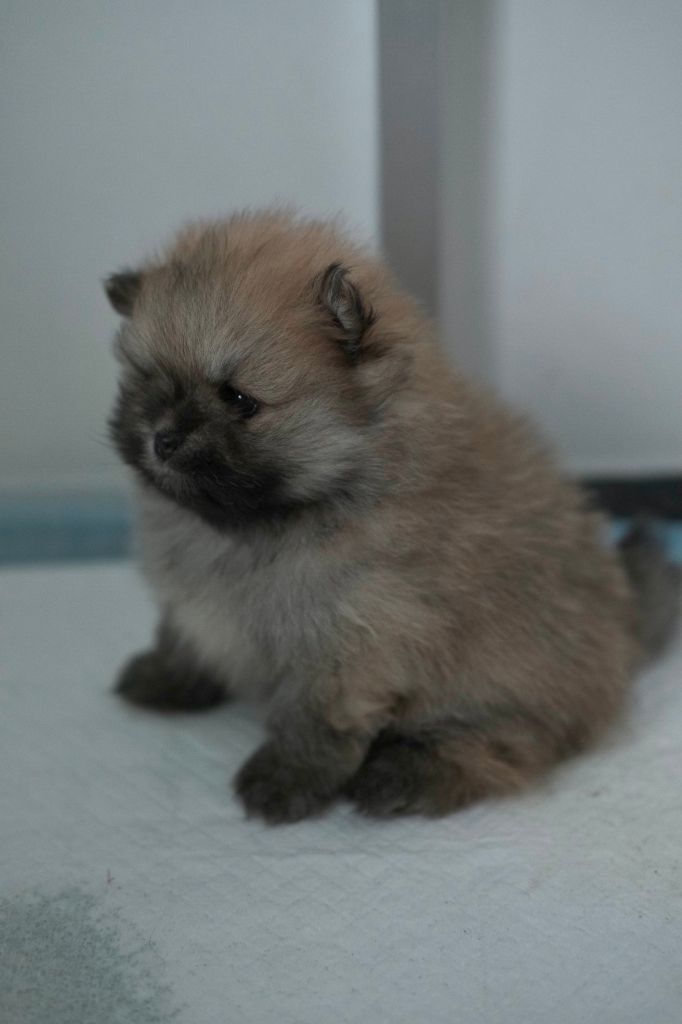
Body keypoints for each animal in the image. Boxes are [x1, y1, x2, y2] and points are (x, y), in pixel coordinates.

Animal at [104, 209, 675, 823]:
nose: (162, 439)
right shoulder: (194, 601)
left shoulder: (355, 636)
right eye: (146, 378)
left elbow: (319, 714)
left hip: (504, 684)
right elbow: (182, 635)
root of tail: (626, 630)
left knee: (504, 745)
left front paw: (287, 777)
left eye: (237, 399)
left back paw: (407, 772)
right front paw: (165, 676)